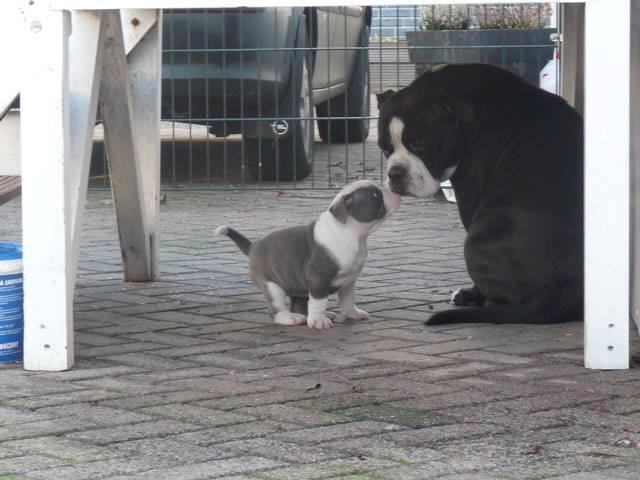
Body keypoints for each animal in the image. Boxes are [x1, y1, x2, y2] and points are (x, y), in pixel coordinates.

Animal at [218, 180, 402, 330]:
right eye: (374, 194)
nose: (393, 187)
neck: (353, 234)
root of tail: (253, 246)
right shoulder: (319, 278)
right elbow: (319, 301)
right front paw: (319, 321)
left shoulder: (349, 280)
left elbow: (348, 299)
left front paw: (353, 313)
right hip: (271, 285)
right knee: (277, 307)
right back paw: (290, 318)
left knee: (299, 304)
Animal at [378, 63, 584, 324]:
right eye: (385, 149)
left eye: (419, 144)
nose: (395, 173)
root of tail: (560, 289)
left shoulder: (470, 195)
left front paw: (469, 294)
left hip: (476, 240)